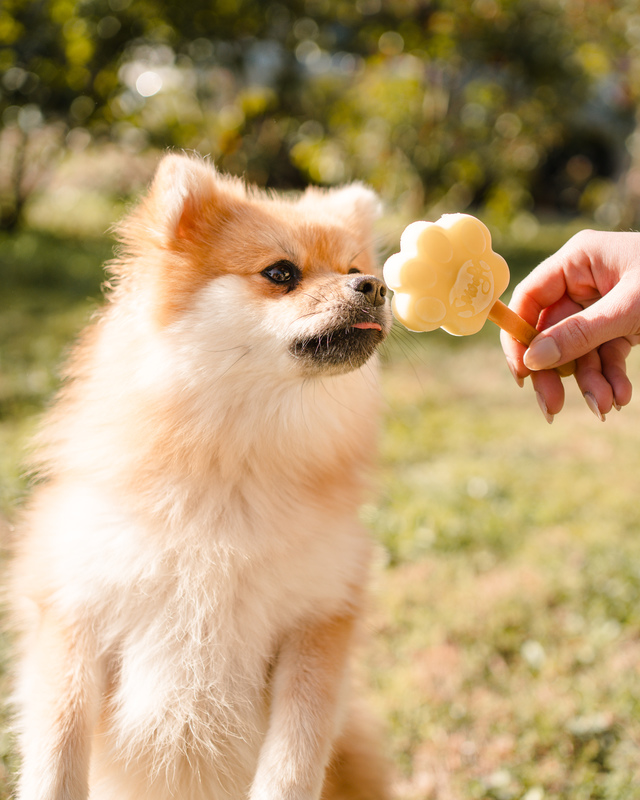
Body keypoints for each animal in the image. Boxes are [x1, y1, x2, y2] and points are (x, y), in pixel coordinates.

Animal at [10, 152, 396, 800]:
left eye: (354, 268)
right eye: (281, 273)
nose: (376, 286)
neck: (232, 473)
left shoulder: (315, 627)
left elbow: (291, 764)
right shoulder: (76, 618)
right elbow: (57, 761)